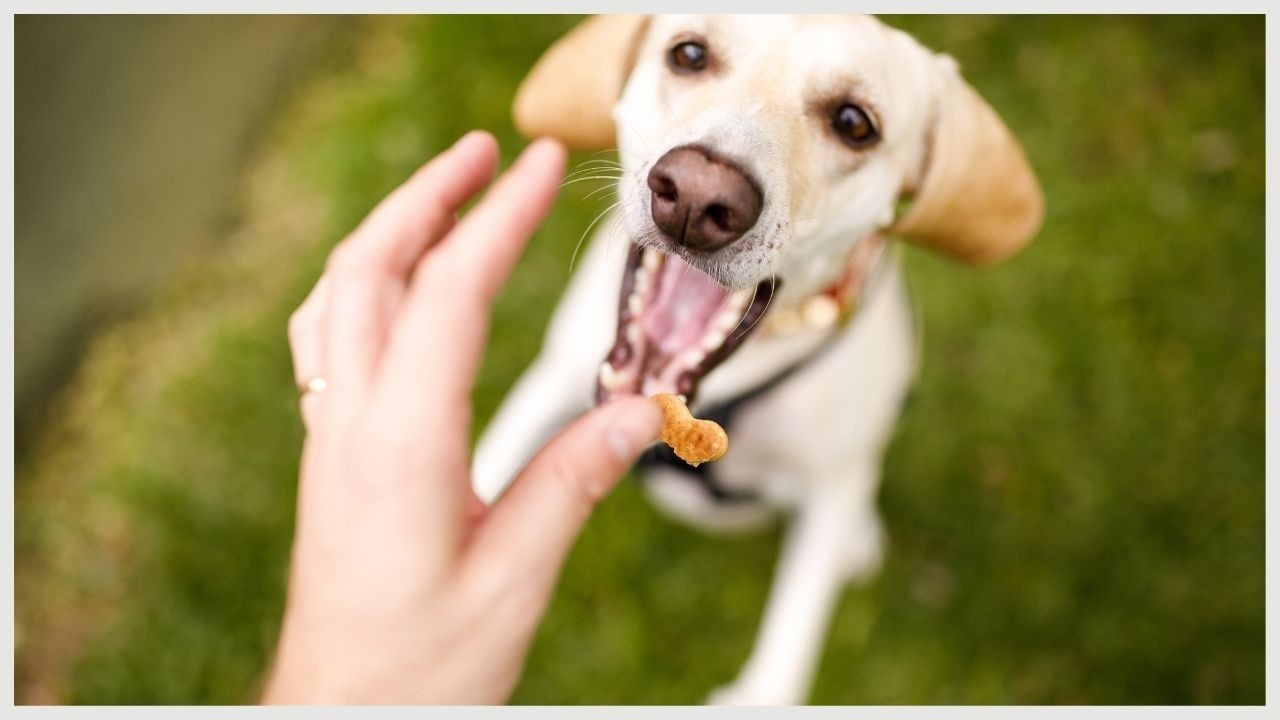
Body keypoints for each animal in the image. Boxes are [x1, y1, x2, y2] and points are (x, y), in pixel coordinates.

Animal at [471, 14, 1039, 702]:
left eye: (854, 123)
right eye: (688, 54)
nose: (696, 198)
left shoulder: (828, 489)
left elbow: (787, 652)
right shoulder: (548, 385)